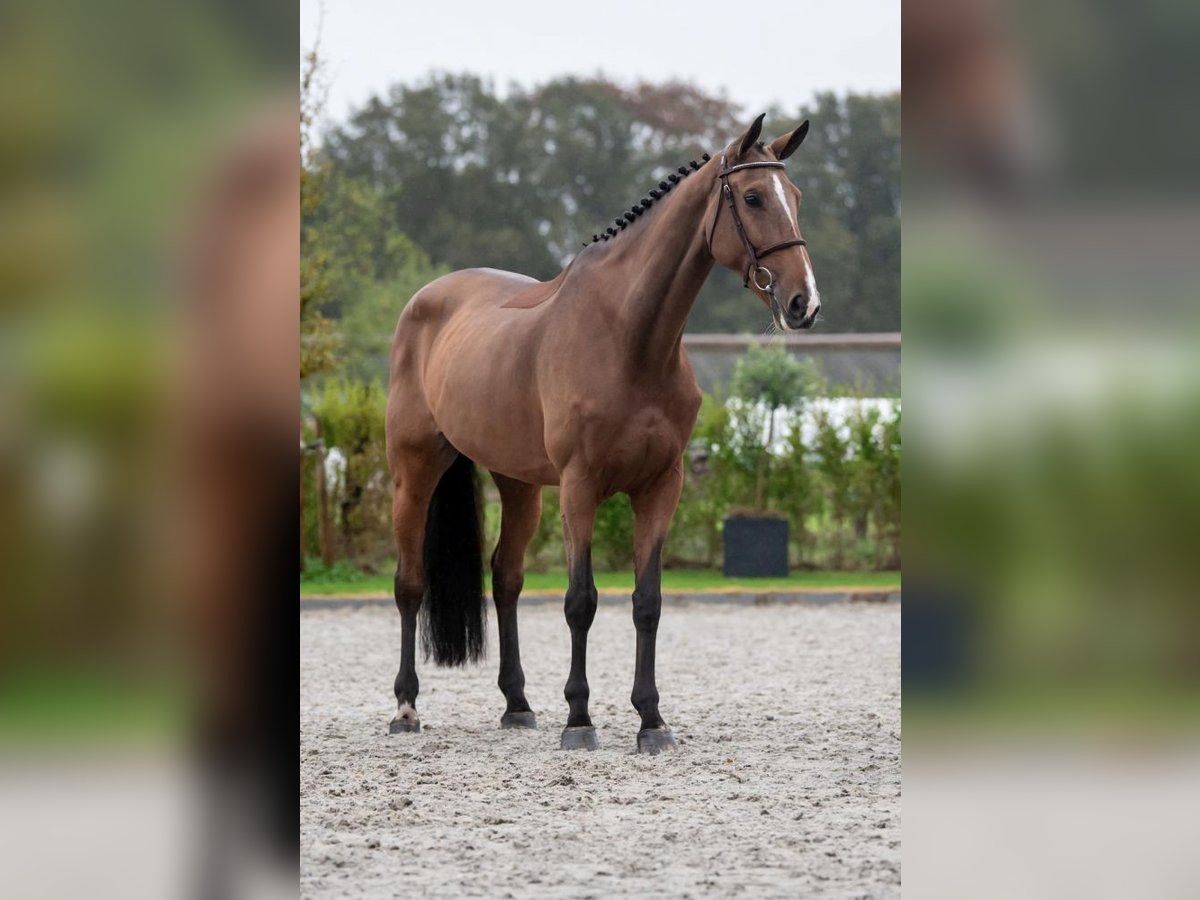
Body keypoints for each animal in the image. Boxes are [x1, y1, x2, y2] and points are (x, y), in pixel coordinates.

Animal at [388, 114, 820, 753]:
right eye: (752, 197)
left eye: (795, 196)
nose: (804, 303)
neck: (628, 338)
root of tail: (426, 299)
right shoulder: (580, 487)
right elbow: (580, 601)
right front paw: (579, 719)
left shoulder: (661, 487)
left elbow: (647, 602)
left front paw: (651, 719)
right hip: (414, 472)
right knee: (410, 583)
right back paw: (406, 707)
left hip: (518, 485)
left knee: (506, 577)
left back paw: (518, 704)